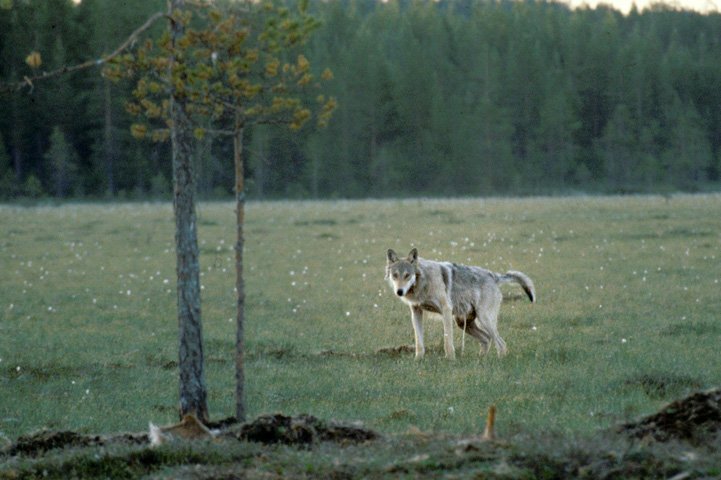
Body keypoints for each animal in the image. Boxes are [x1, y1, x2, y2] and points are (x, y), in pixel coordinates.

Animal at [382, 249, 536, 358]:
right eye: (395, 275)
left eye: (407, 275)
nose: (399, 291)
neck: (422, 283)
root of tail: (493, 275)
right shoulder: (416, 312)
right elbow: (419, 343)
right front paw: (418, 360)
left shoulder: (446, 310)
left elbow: (447, 341)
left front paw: (450, 360)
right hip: (464, 324)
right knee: (487, 339)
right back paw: (481, 360)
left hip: (484, 320)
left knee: (501, 344)